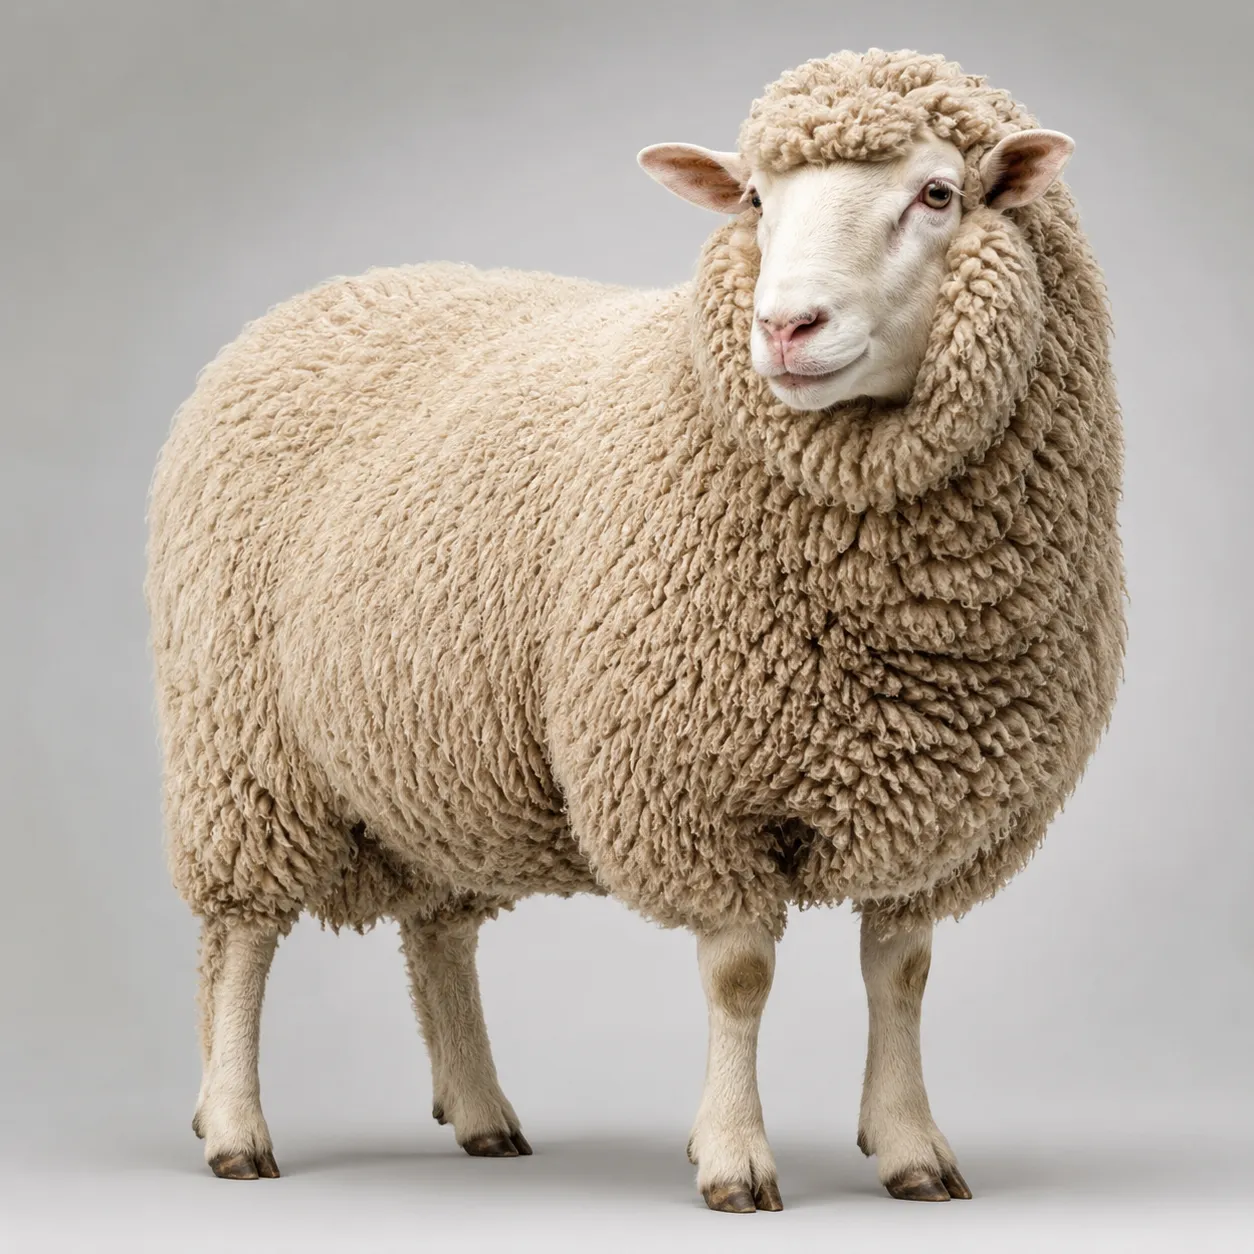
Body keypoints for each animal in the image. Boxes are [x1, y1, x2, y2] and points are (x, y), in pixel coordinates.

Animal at [146, 48, 1125, 1212]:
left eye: (938, 194)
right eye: (756, 200)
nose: (783, 328)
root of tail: (316, 301)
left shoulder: (936, 808)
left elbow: (903, 973)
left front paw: (911, 1148)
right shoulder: (699, 784)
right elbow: (741, 976)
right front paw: (734, 1158)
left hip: (437, 755)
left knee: (438, 932)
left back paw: (480, 1114)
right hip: (242, 744)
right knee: (241, 939)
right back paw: (234, 1127)